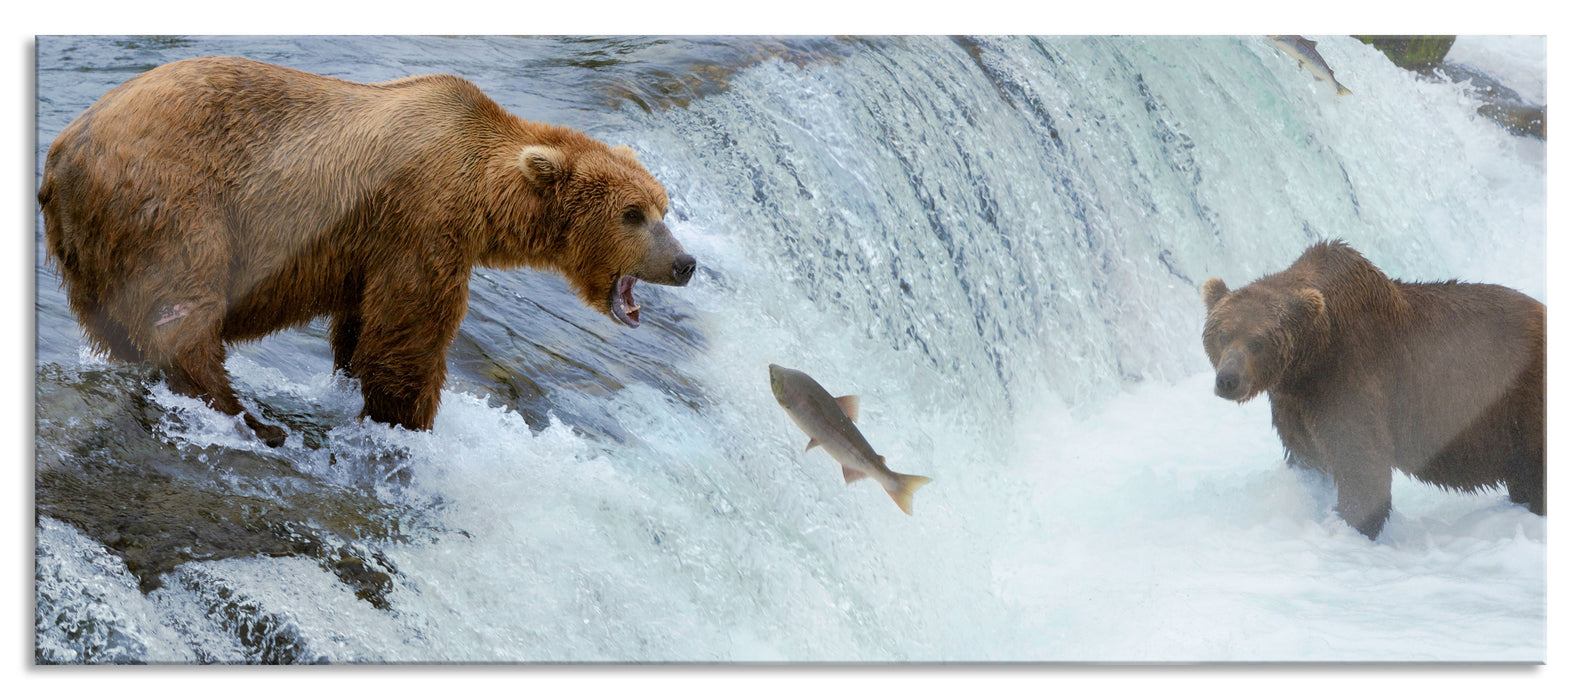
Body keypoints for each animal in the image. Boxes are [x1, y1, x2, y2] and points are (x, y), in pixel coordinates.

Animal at [38, 56, 696, 447]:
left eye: (664, 207)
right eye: (633, 214)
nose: (685, 263)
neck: (484, 196)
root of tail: (61, 152)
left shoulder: (373, 247)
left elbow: (362, 327)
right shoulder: (423, 222)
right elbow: (409, 334)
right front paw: (407, 420)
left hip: (91, 246)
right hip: (172, 201)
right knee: (185, 309)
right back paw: (248, 417)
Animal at [1199, 241, 1544, 539]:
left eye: (1257, 341)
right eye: (1222, 335)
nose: (1228, 380)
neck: (1311, 358)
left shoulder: (1351, 375)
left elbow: (1361, 460)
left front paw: (1351, 524)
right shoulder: (1294, 401)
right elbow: (1306, 453)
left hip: (1522, 400)